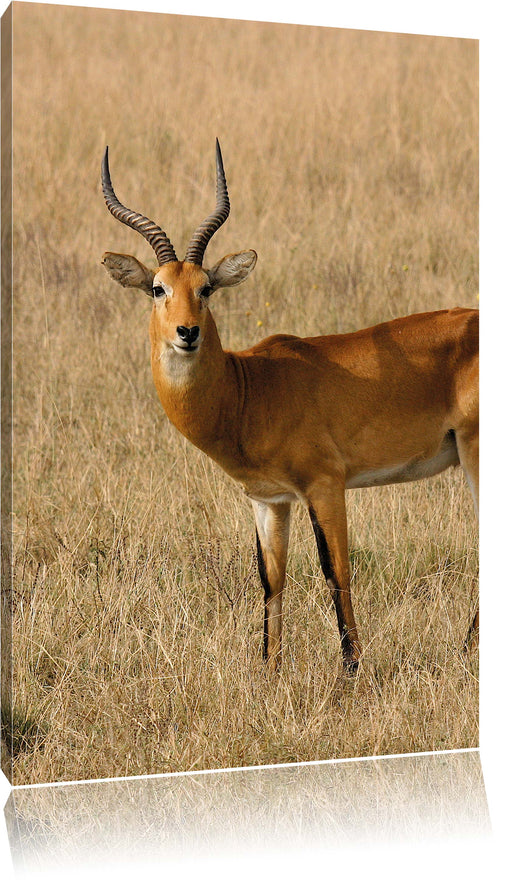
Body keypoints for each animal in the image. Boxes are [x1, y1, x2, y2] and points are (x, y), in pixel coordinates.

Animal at [101, 142, 480, 672]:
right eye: (158, 287)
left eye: (206, 287)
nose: (187, 332)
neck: (250, 389)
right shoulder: (268, 499)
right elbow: (271, 579)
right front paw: (269, 670)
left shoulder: (325, 484)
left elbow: (335, 570)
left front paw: (351, 670)